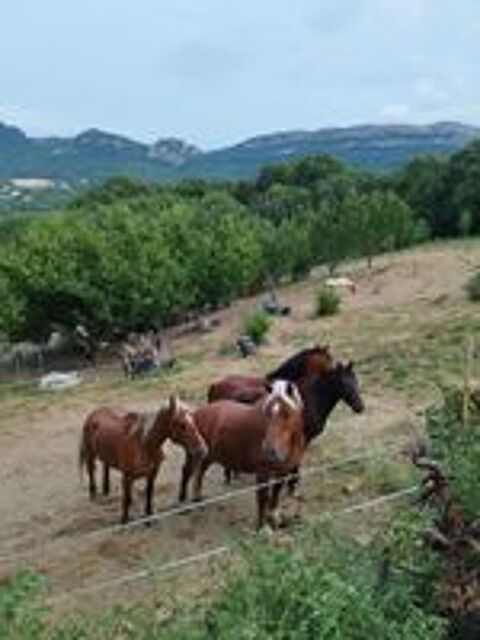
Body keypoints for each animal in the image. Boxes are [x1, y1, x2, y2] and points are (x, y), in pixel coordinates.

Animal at [79, 396, 207, 523]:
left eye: (193, 421)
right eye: (181, 424)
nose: (202, 449)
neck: (144, 444)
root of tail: (93, 414)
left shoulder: (152, 473)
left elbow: (148, 492)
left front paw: (149, 517)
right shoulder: (127, 477)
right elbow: (126, 498)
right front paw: (124, 521)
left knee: (105, 466)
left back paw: (106, 490)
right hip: (90, 454)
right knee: (91, 470)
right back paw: (93, 494)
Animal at [179, 380, 305, 529]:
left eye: (287, 413)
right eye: (267, 413)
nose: (269, 451)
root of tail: (196, 414)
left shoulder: (283, 471)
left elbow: (275, 494)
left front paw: (274, 519)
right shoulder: (263, 472)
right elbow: (263, 497)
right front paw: (262, 527)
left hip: (207, 456)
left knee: (200, 473)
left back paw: (197, 499)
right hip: (193, 454)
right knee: (187, 472)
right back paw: (183, 503)